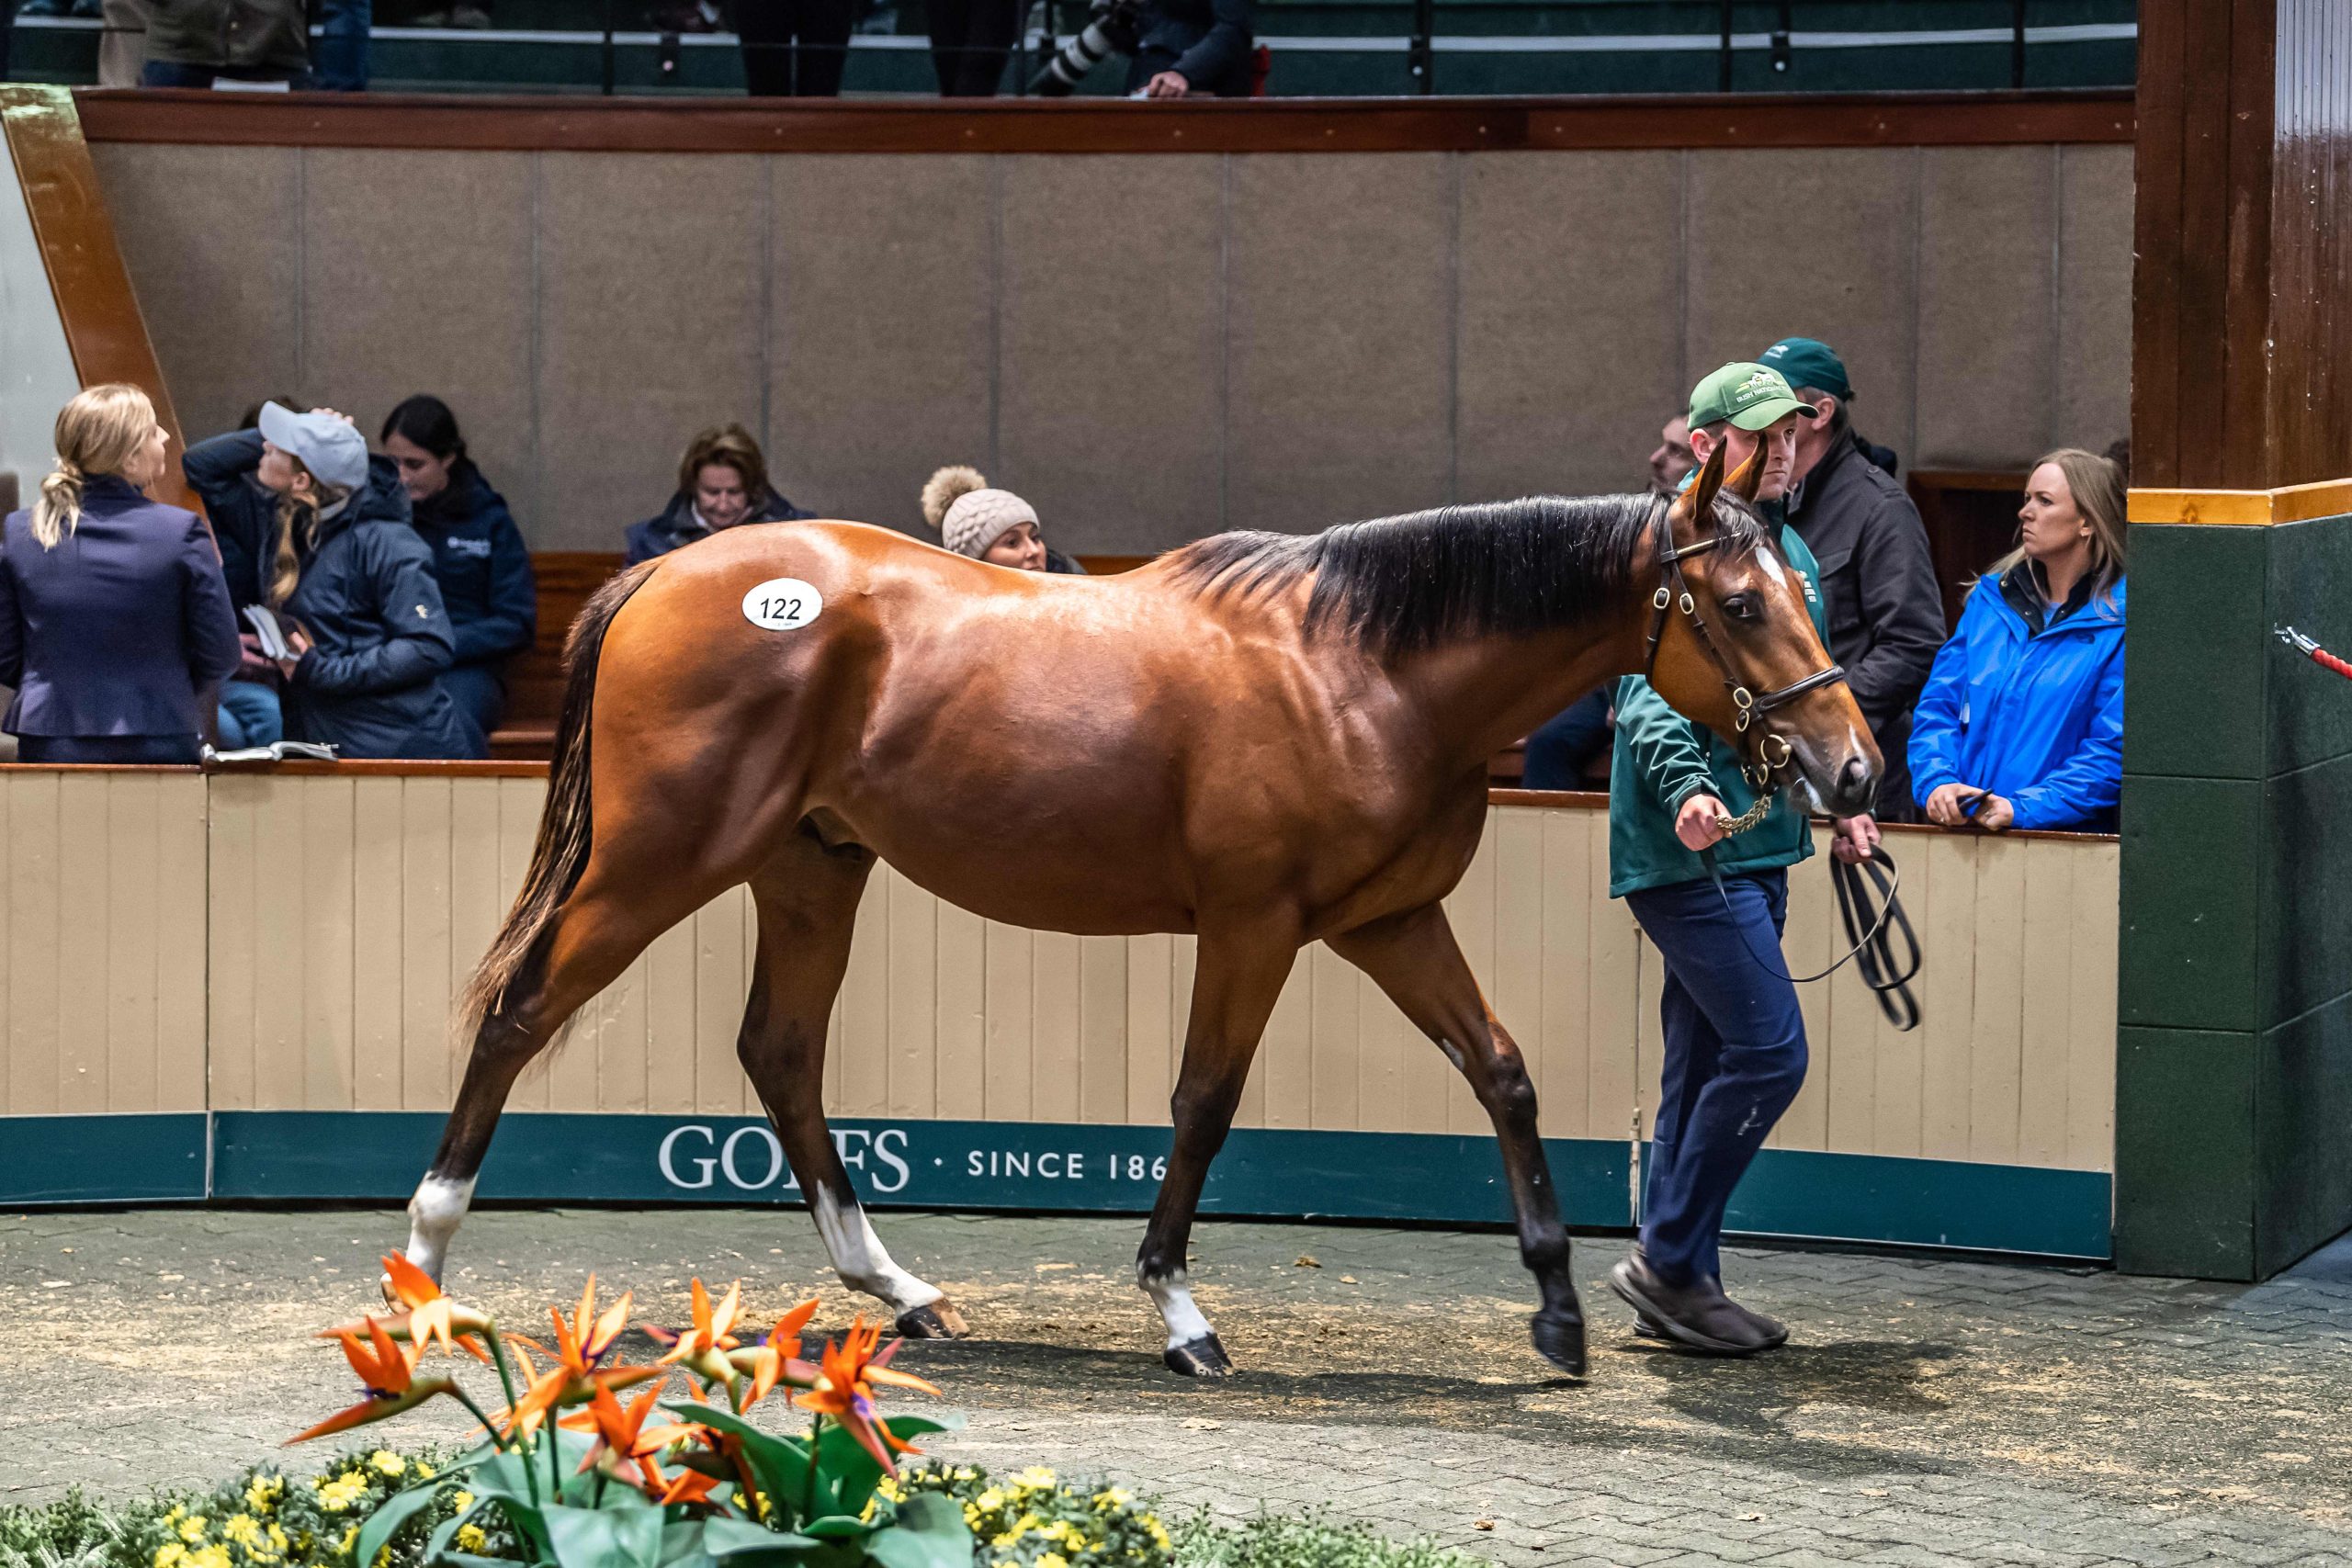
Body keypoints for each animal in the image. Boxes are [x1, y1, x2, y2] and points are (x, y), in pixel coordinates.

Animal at [400, 439, 1871, 1372]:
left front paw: (1560, 1310)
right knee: (523, 1008)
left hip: (811, 865)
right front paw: (1180, 1314)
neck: (1362, 668)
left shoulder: (1387, 923)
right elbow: (1204, 1101)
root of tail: (667, 572)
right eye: (1740, 602)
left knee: (782, 1051)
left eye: (1795, 591)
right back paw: (424, 1266)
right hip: (662, 861)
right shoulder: (1256, 927)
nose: (1852, 769)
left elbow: (1502, 1073)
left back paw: (902, 1288)